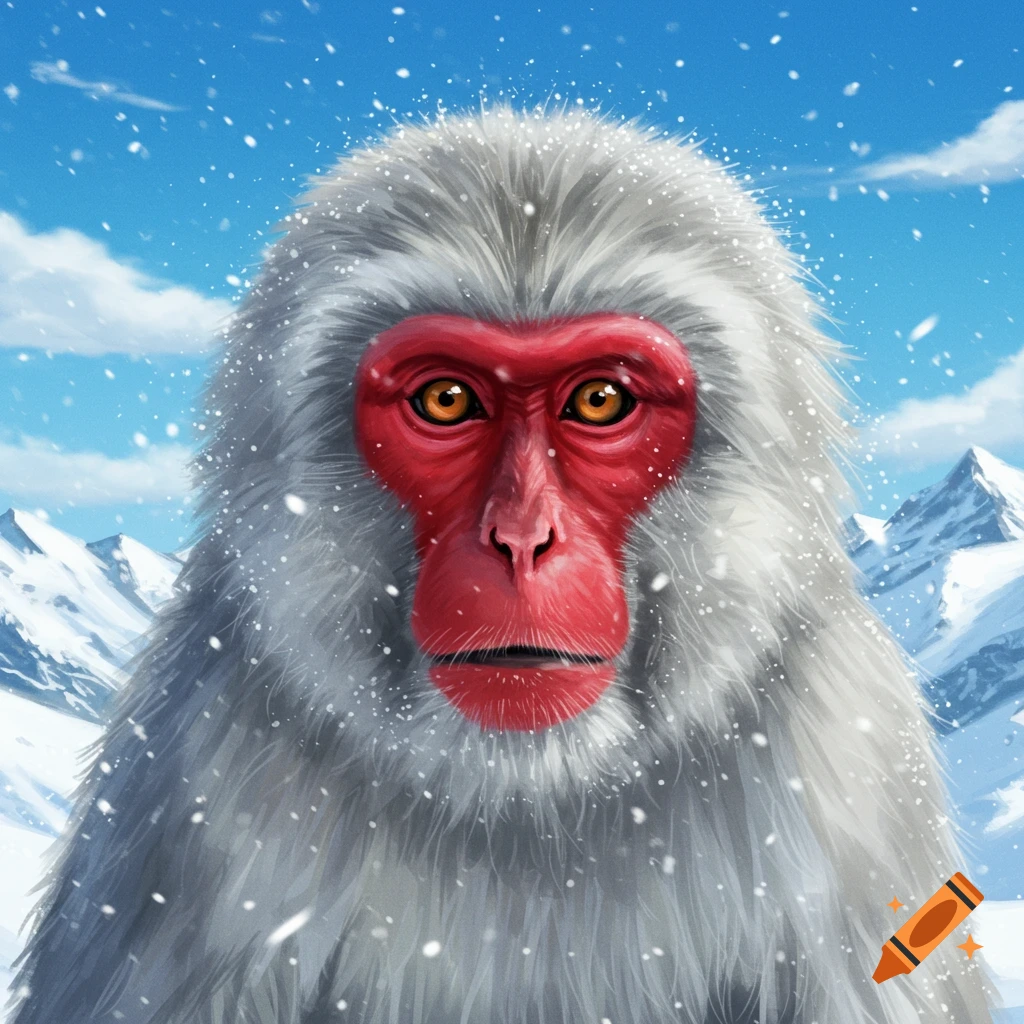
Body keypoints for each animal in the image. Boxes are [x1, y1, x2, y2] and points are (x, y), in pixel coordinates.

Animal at [8, 107, 997, 1024]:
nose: (521, 539)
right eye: (447, 400)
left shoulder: (857, 777)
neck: (527, 794)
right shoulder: (183, 787)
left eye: (599, 401)